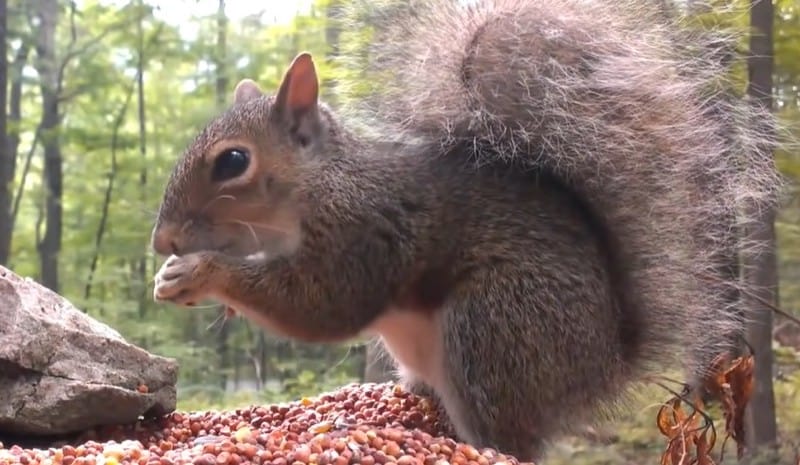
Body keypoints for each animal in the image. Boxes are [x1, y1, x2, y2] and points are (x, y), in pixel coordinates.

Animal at [148, 0, 780, 456]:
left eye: (233, 162)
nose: (162, 241)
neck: (320, 183)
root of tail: (606, 364)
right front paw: (174, 275)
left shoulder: (363, 232)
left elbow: (323, 305)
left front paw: (202, 273)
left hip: (496, 329)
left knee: (509, 438)